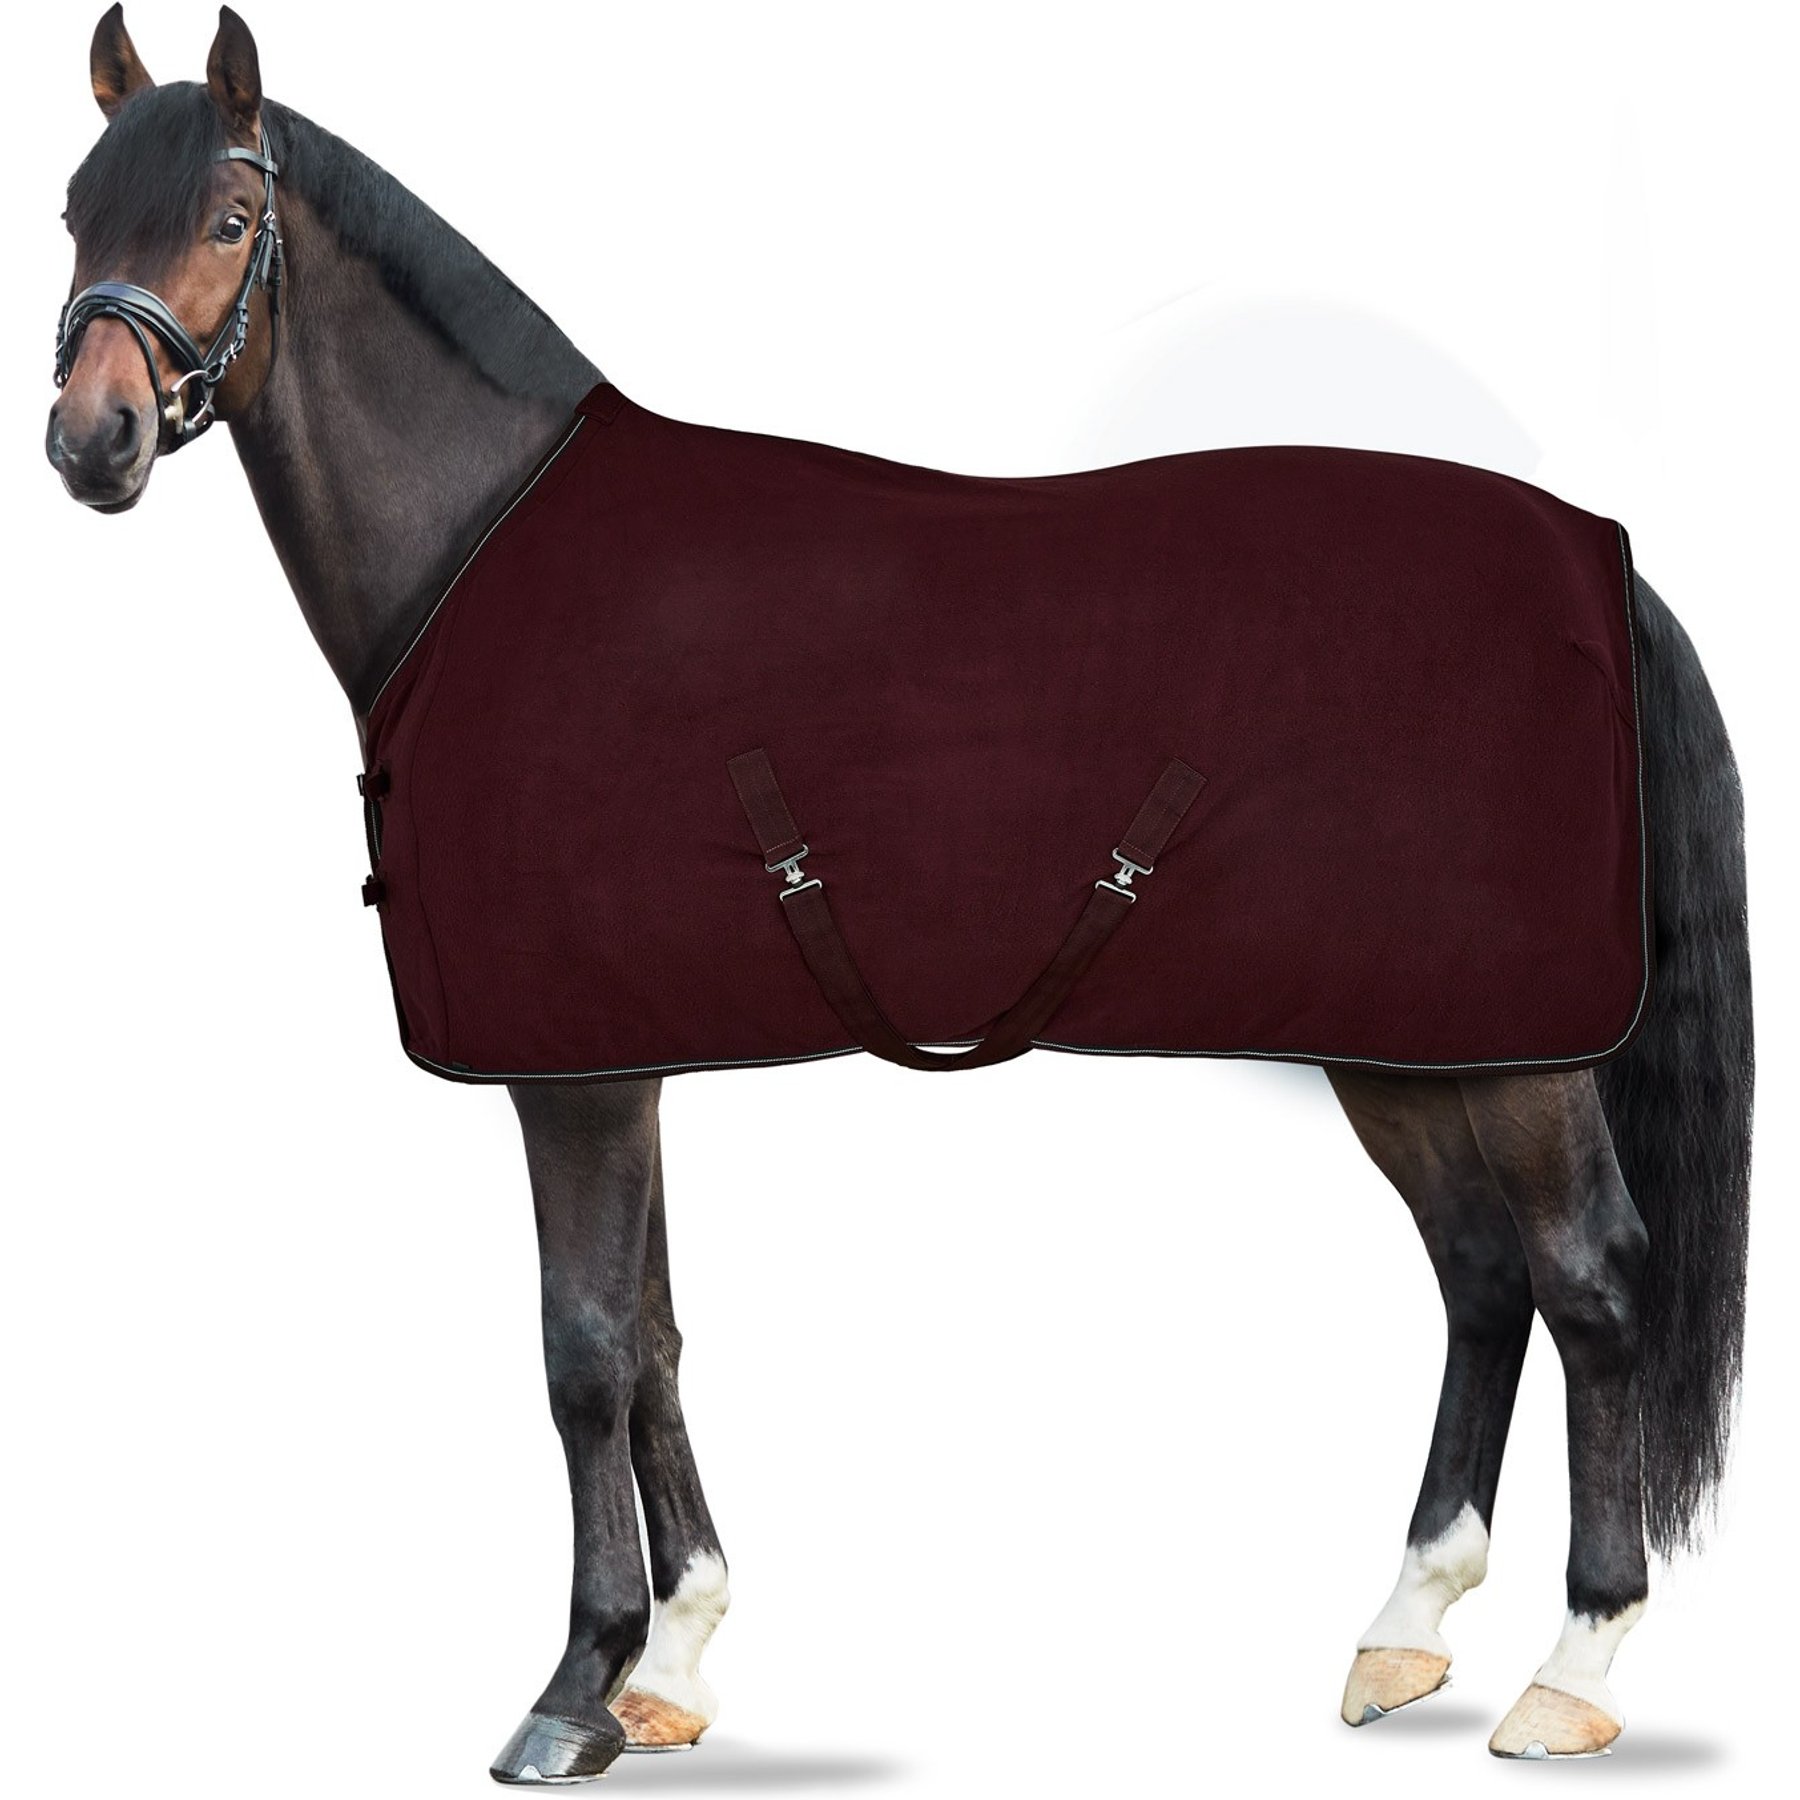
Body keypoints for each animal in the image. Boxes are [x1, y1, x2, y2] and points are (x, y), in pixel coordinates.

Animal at [46, 6, 1752, 1781]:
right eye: (73, 216)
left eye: (226, 222)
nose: (92, 442)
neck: (482, 550)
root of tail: (1603, 565)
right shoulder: (622, 1052)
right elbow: (655, 1333)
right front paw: (676, 1661)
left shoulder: (568, 1078)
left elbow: (582, 1349)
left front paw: (575, 1686)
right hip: (1409, 1040)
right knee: (1483, 1277)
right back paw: (1406, 1628)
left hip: (1523, 1052)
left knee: (1593, 1282)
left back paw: (1576, 1666)